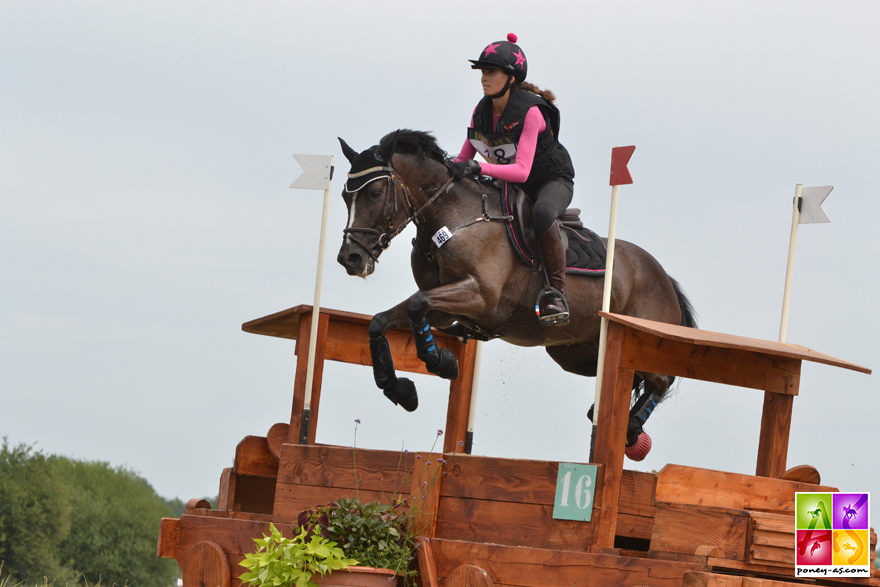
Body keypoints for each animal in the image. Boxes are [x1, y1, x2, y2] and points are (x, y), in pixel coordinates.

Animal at [336, 130, 696, 450]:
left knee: (660, 379)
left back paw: (632, 427)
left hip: (640, 340)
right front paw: (401, 388)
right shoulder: (441, 311)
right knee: (628, 378)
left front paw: (442, 363)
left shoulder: (480, 297)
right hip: (575, 353)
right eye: (343, 195)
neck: (455, 218)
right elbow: (385, 320)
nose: (349, 259)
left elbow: (415, 304)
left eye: (374, 192)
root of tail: (663, 277)